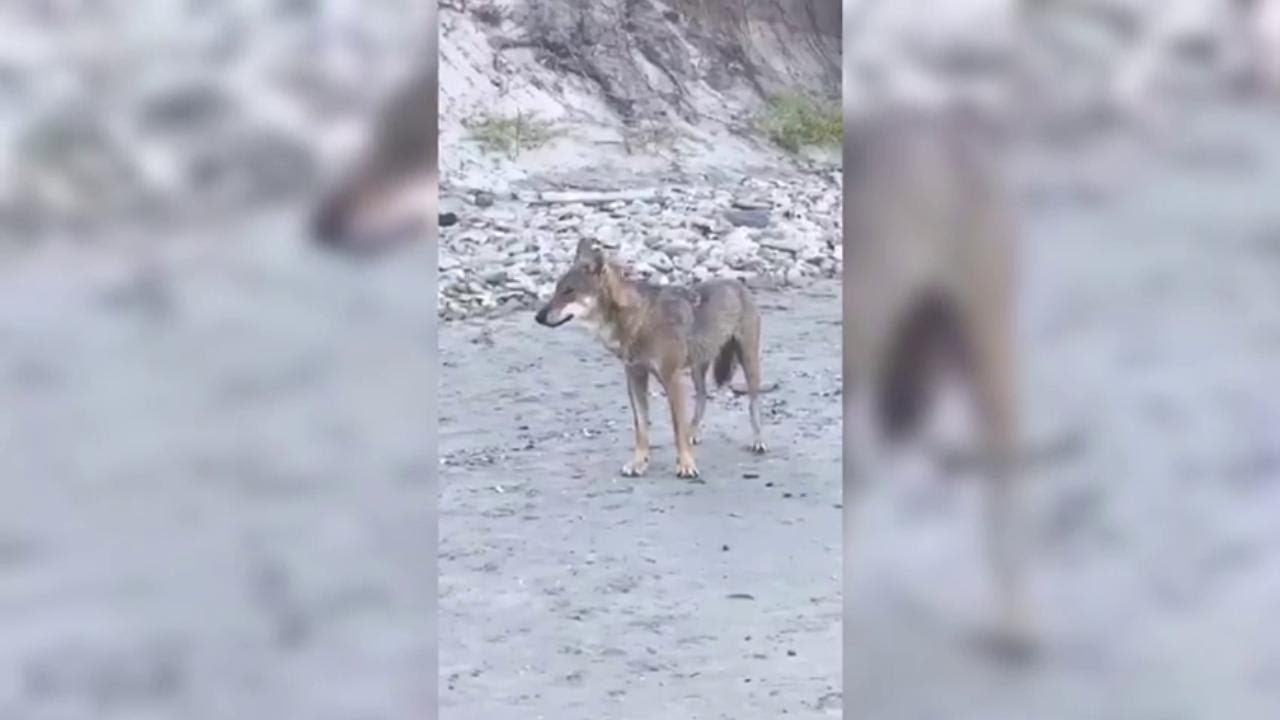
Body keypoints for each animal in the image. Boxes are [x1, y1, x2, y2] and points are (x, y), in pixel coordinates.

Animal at [536, 238, 767, 479]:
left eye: (569, 291)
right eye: (556, 290)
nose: (538, 317)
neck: (639, 319)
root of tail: (738, 284)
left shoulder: (672, 379)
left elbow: (676, 428)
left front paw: (686, 464)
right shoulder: (635, 378)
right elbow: (641, 428)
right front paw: (639, 463)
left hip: (748, 363)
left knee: (754, 405)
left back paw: (758, 441)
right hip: (697, 369)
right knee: (703, 398)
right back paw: (693, 433)